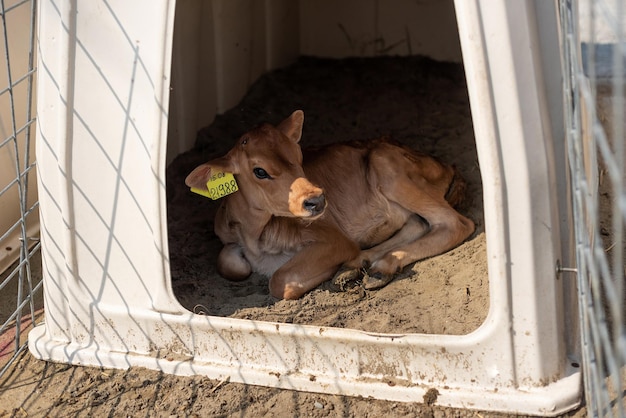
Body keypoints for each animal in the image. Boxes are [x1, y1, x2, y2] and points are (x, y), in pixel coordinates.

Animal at [185, 111, 472, 298]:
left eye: (299, 156)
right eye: (259, 171)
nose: (317, 199)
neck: (255, 237)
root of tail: (446, 164)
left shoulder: (333, 239)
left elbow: (279, 281)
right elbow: (229, 263)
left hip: (385, 164)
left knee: (456, 224)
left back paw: (379, 268)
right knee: (416, 224)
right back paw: (357, 267)